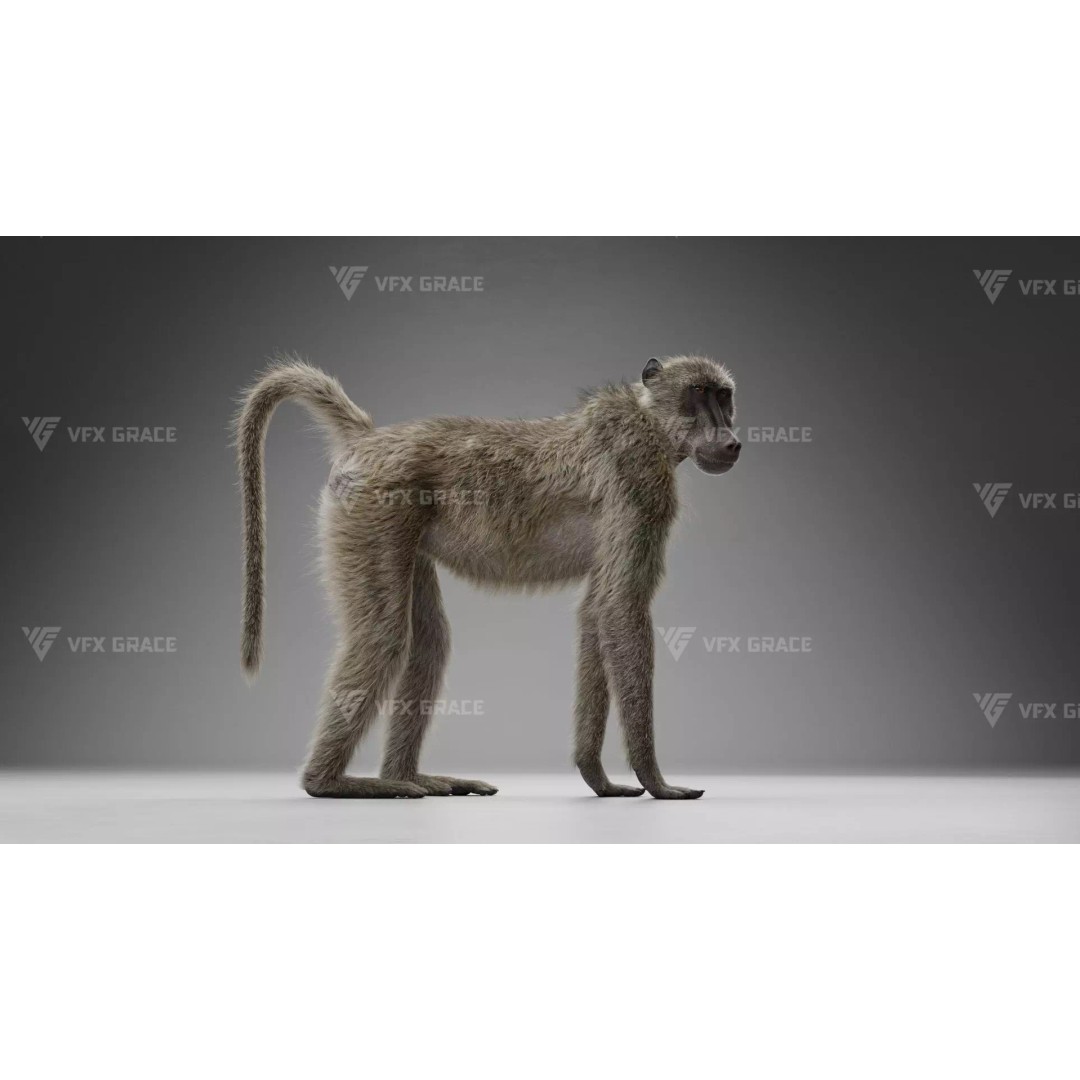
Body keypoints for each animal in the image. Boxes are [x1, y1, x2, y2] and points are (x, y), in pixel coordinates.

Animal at [235, 353, 740, 799]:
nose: (731, 440)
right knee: (383, 636)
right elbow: (621, 610)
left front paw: (599, 780)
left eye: (724, 396)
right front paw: (657, 782)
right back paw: (333, 783)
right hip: (371, 508)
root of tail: (370, 438)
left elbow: (597, 614)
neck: (647, 420)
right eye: (698, 394)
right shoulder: (642, 482)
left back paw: (411, 777)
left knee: (429, 641)